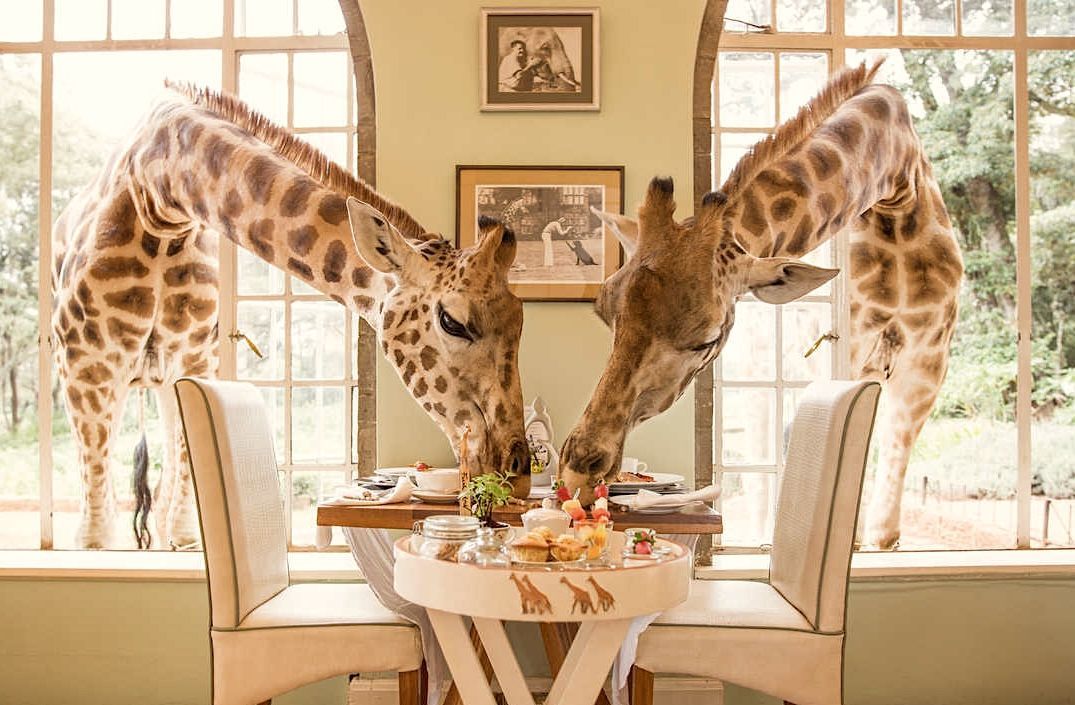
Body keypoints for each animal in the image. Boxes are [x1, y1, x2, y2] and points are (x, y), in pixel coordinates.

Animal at [52, 84, 531, 549]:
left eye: (520, 322)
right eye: (452, 322)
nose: (519, 472)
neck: (160, 196)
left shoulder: (194, 361)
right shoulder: (86, 367)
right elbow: (95, 526)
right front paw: (93, 542)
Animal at [559, 60, 963, 550]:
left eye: (707, 338)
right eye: (604, 312)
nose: (577, 473)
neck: (896, 188)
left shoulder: (925, 367)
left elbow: (884, 524)